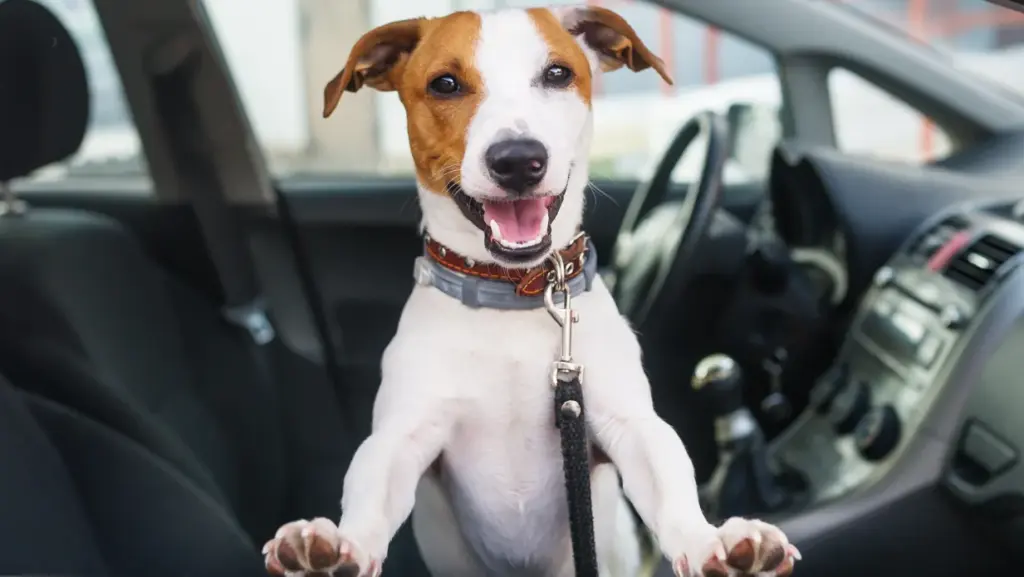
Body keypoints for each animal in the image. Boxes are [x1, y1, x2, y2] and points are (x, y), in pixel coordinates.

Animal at [262, 5, 798, 577]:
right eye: (445, 84)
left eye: (558, 74)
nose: (518, 159)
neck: (512, 293)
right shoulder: (403, 436)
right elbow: (369, 489)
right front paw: (336, 548)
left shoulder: (626, 423)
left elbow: (670, 479)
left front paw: (711, 541)